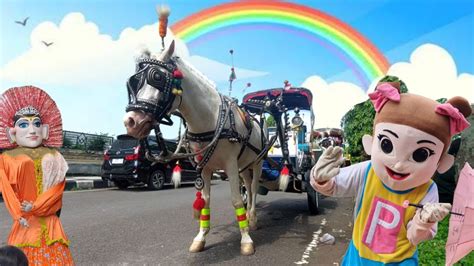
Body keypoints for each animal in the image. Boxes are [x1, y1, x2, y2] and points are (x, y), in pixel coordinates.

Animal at [122, 40, 272, 255]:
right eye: (134, 82)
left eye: (157, 77)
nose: (131, 122)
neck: (212, 119)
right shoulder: (206, 168)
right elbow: (205, 201)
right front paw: (200, 237)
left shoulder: (230, 164)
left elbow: (236, 200)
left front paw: (245, 240)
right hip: (244, 165)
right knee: (249, 186)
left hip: (257, 162)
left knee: (252, 187)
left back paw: (252, 219)